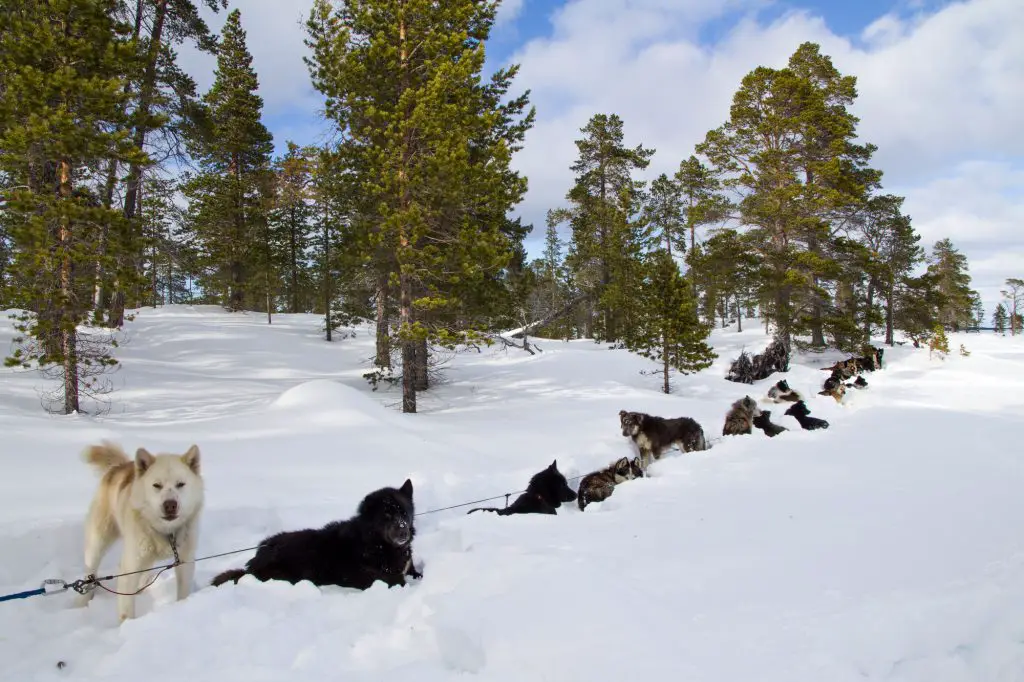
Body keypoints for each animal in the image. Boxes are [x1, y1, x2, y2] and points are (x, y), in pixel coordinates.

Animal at [74, 440, 204, 622]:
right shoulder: (129, 569)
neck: (165, 532)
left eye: (180, 484)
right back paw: (82, 601)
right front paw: (129, 627)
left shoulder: (185, 562)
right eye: (157, 485)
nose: (170, 505)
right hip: (98, 542)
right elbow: (126, 610)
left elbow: (183, 593)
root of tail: (120, 466)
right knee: (90, 573)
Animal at [207, 477, 419, 589]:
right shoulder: (359, 575)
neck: (377, 546)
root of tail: (254, 562)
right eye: (387, 515)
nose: (403, 531)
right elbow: (393, 579)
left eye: (404, 513)